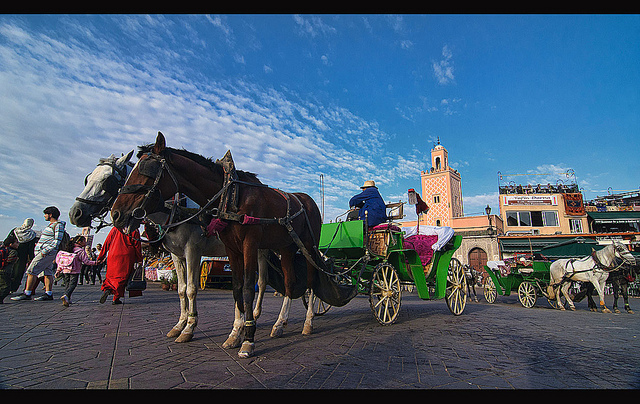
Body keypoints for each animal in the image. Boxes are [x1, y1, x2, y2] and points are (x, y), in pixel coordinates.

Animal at [111, 132, 324, 356]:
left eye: (145, 171)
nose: (116, 214)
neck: (232, 196)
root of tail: (308, 199)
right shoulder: (230, 248)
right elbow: (235, 287)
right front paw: (235, 333)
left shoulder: (243, 245)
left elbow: (246, 288)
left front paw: (247, 339)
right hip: (285, 248)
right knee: (289, 282)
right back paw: (279, 323)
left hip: (308, 247)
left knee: (311, 280)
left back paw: (308, 322)